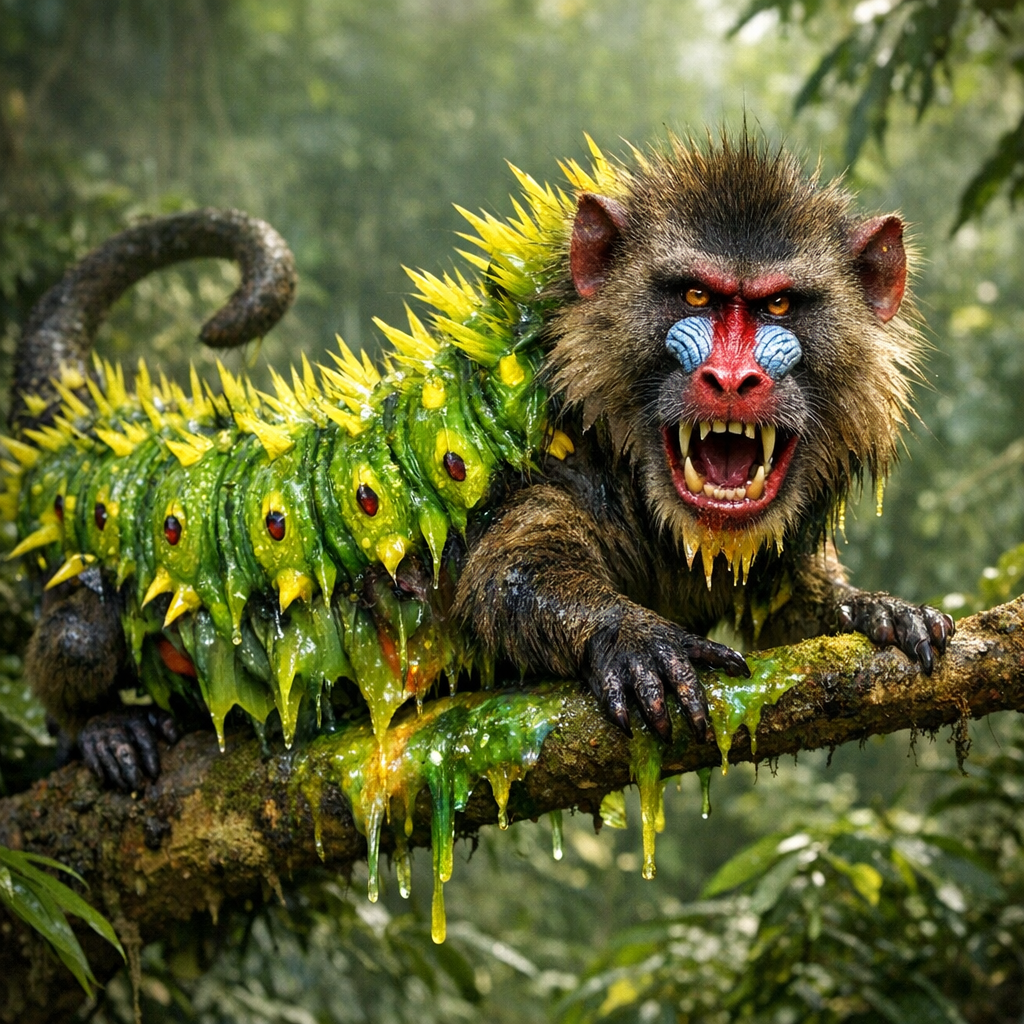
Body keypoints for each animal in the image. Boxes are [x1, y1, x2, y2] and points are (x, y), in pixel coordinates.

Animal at [5, 135, 952, 789]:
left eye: (778, 305)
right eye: (695, 295)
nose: (731, 378)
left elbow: (788, 608)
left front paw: (871, 611)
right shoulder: (542, 472)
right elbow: (505, 581)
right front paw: (631, 636)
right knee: (82, 633)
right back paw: (98, 730)